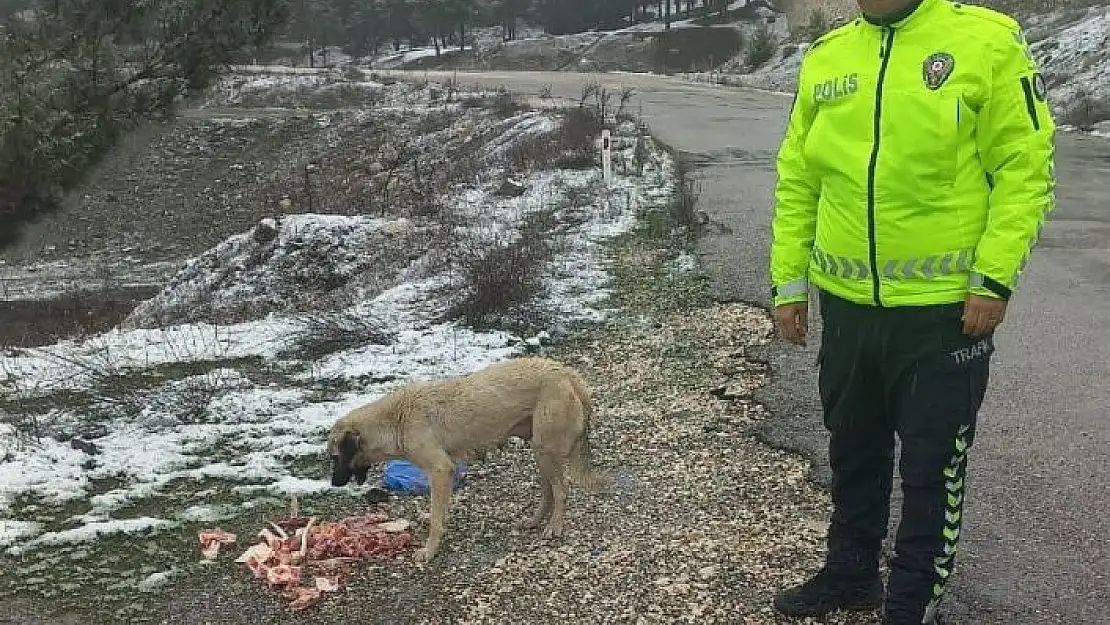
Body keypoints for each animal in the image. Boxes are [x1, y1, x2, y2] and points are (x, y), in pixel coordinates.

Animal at [324, 357, 612, 561]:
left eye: (335, 457)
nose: (333, 484)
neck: (395, 420)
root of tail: (565, 372)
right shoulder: (442, 475)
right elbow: (438, 511)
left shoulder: (440, 470)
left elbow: (436, 518)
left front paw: (430, 550)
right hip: (539, 450)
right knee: (549, 491)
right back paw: (534, 521)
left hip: (545, 449)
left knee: (561, 490)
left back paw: (554, 526)